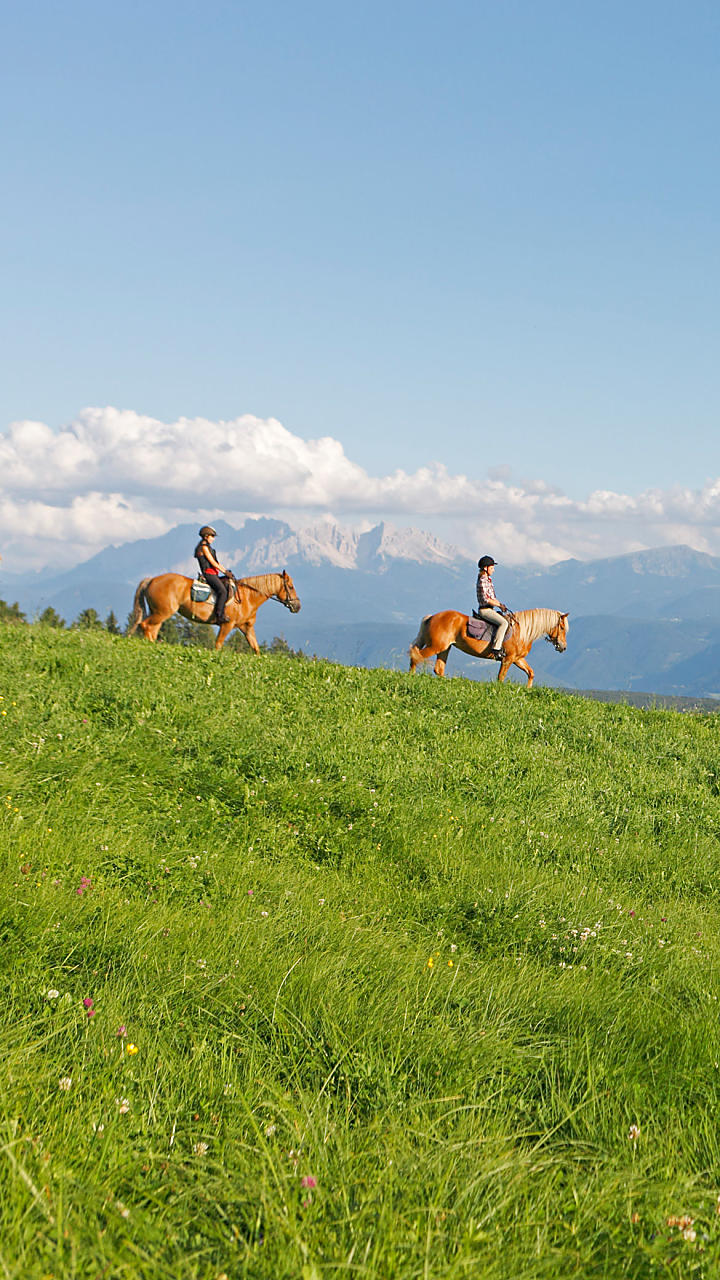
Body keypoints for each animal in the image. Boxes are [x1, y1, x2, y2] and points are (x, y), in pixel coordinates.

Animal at [127, 570, 298, 650]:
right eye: (290, 586)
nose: (297, 606)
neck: (248, 597)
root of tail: (151, 580)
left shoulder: (246, 627)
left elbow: (255, 648)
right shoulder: (227, 625)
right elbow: (218, 645)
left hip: (159, 614)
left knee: (152, 630)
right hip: (162, 612)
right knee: (145, 626)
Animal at [409, 609, 566, 691]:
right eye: (563, 627)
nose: (563, 647)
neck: (522, 632)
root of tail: (432, 617)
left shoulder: (518, 659)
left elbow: (531, 673)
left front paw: (528, 689)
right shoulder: (508, 659)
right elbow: (501, 677)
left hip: (444, 648)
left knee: (438, 669)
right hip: (436, 647)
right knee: (416, 656)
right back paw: (411, 677)